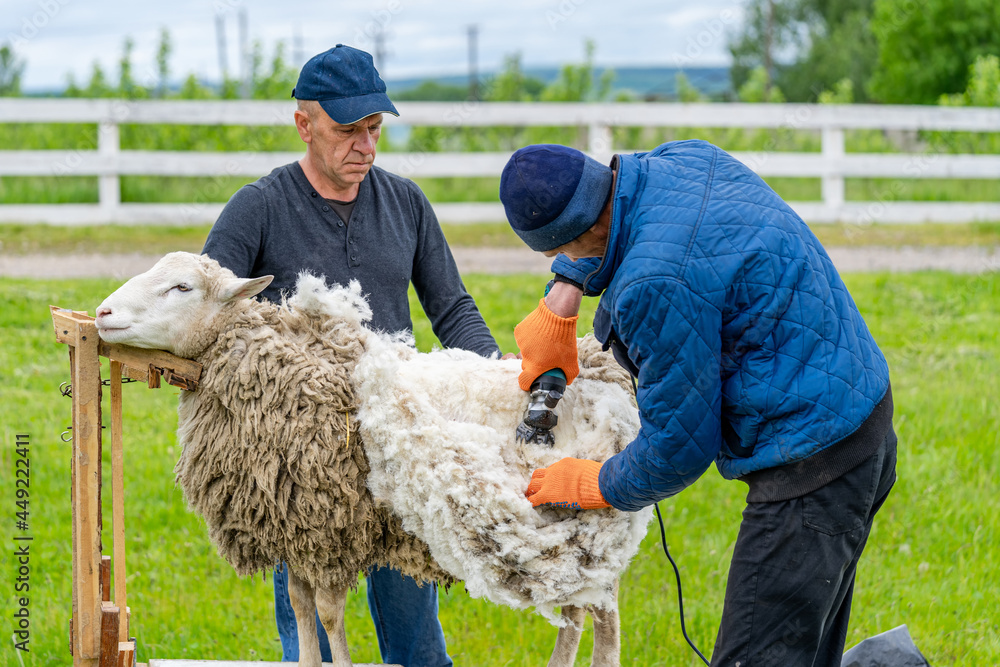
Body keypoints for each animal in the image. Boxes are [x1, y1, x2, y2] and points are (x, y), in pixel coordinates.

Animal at [95, 253, 656, 667]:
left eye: (182, 288)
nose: (101, 314)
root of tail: (605, 368)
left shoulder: (329, 530)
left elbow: (328, 614)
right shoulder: (295, 530)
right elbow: (300, 608)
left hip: (589, 531)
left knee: (604, 620)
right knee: (577, 613)